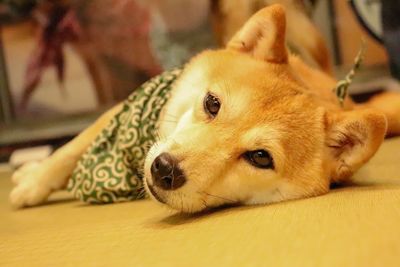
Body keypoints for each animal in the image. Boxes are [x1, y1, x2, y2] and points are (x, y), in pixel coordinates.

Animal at [9, 4, 400, 214]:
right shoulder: (116, 112)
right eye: (212, 104)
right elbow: (67, 152)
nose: (164, 169)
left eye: (260, 157)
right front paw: (32, 182)